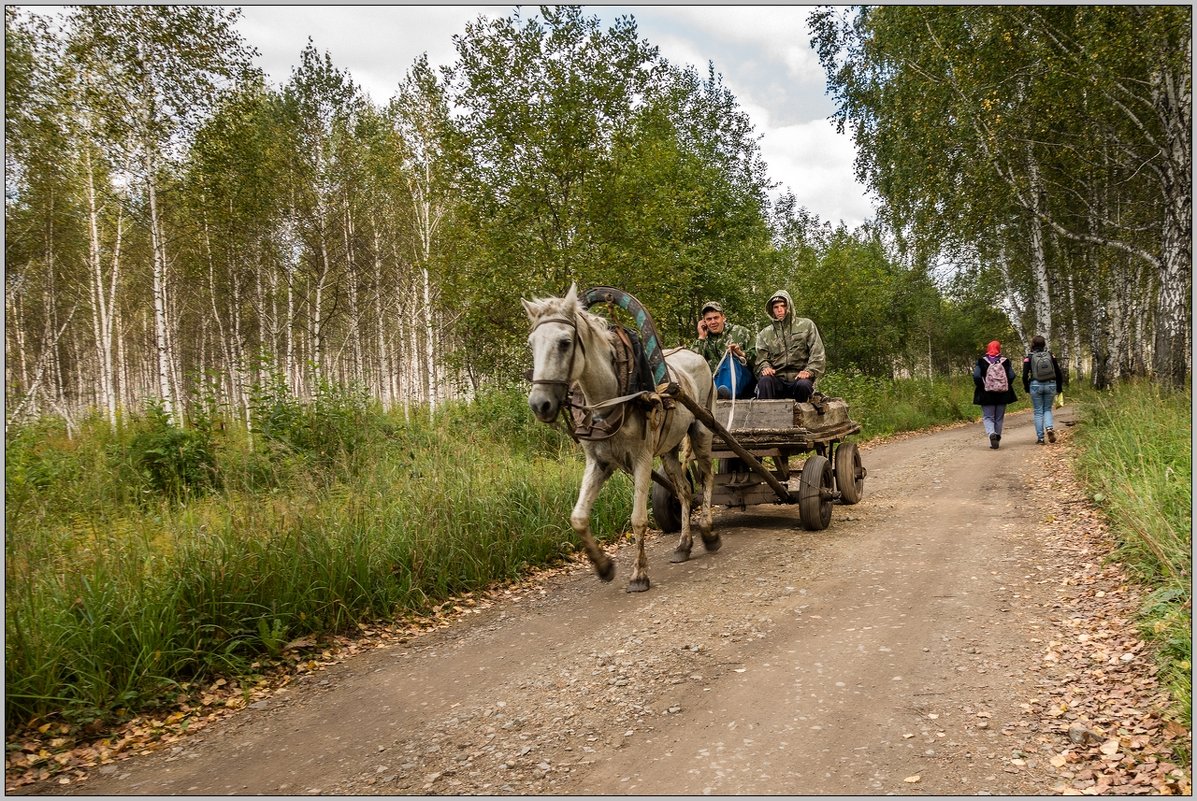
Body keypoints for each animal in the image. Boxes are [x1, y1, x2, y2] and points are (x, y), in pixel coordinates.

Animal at [521, 283, 708, 591]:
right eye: (531, 343)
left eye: (565, 342)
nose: (540, 404)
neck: (614, 395)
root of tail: (696, 355)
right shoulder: (599, 462)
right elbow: (578, 518)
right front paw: (604, 567)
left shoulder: (642, 458)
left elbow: (638, 519)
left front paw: (639, 574)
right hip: (669, 450)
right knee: (684, 490)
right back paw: (684, 544)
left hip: (702, 430)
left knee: (709, 478)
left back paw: (709, 530)